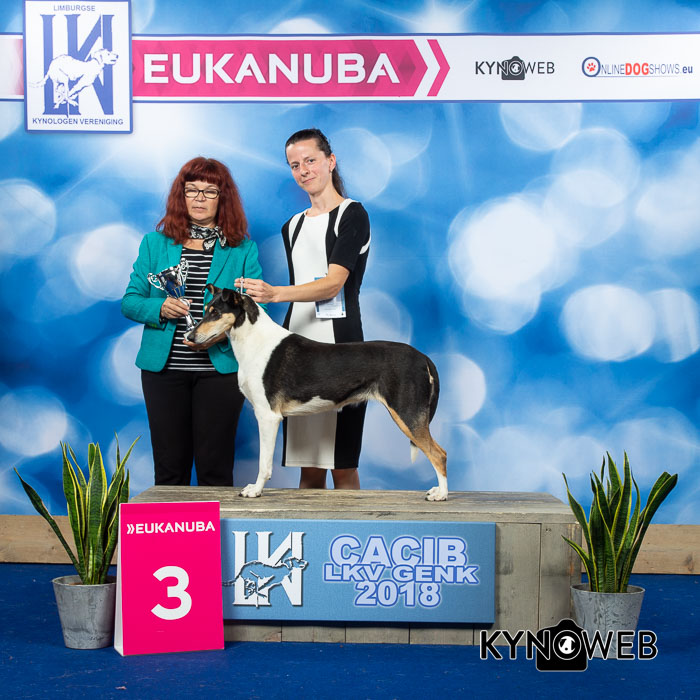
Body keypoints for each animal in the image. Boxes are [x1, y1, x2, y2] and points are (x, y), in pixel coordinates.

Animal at [187, 286, 448, 501]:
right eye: (205, 310)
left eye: (215, 313)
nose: (189, 336)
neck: (253, 341)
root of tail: (422, 357)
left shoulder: (268, 416)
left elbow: (264, 463)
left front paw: (255, 490)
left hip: (407, 413)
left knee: (439, 454)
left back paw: (441, 494)